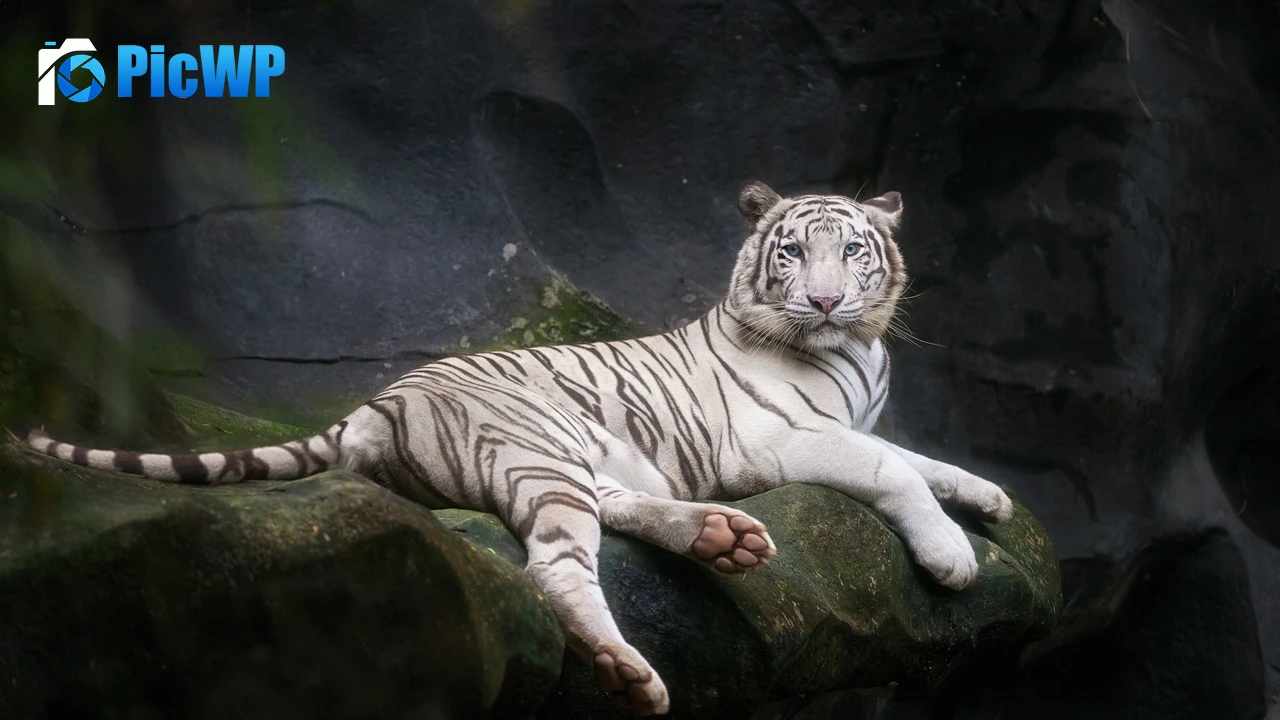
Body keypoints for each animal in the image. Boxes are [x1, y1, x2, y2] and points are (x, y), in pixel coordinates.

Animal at [21, 180, 1014, 716]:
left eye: (853, 252)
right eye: (791, 255)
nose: (825, 301)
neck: (859, 349)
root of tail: (376, 404)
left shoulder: (853, 422)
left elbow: (925, 461)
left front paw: (991, 498)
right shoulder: (780, 439)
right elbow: (892, 469)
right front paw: (953, 558)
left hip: (574, 457)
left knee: (605, 517)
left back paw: (722, 540)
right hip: (540, 445)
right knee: (555, 571)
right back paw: (630, 669)